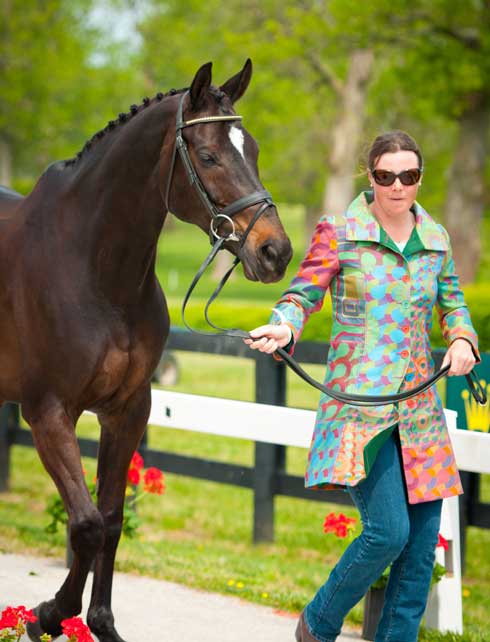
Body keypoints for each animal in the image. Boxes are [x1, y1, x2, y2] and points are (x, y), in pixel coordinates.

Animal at [0, 58, 290, 636]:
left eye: (253, 150)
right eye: (208, 155)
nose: (275, 251)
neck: (95, 271)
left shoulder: (129, 410)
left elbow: (111, 521)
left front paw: (100, 622)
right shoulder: (48, 413)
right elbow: (86, 524)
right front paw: (48, 614)